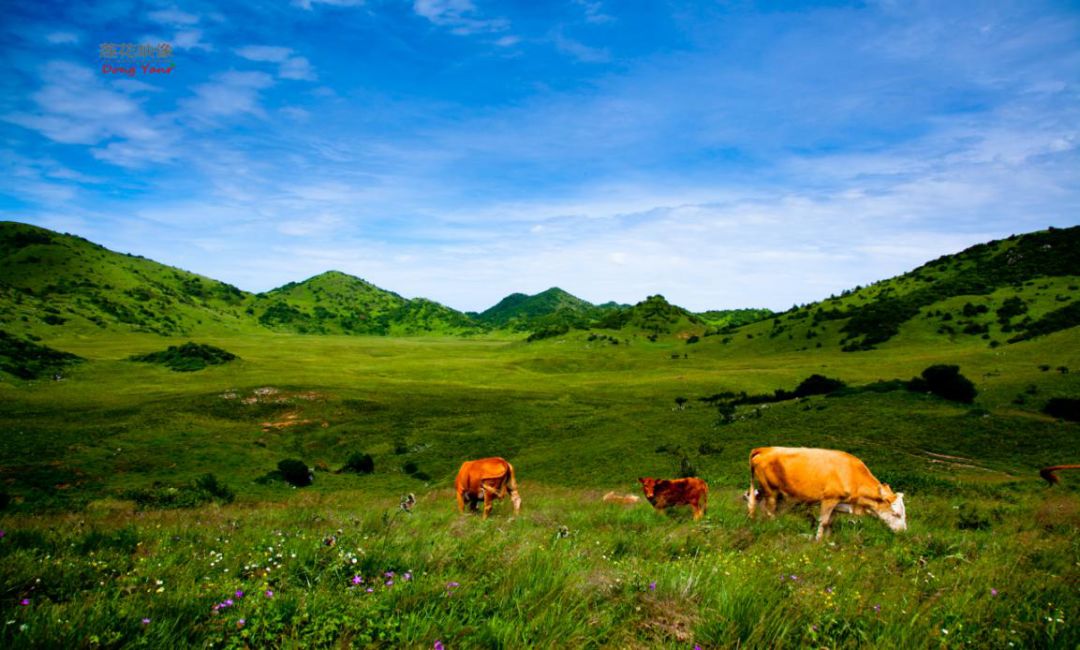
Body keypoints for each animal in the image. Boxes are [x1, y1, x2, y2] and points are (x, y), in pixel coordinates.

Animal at [747, 442, 907, 539]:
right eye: (896, 514)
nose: (903, 532)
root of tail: (765, 449)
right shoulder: (829, 499)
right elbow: (823, 522)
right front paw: (818, 542)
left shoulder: (838, 503)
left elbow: (830, 522)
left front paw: (828, 541)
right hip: (771, 491)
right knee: (769, 511)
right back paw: (776, 529)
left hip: (770, 492)